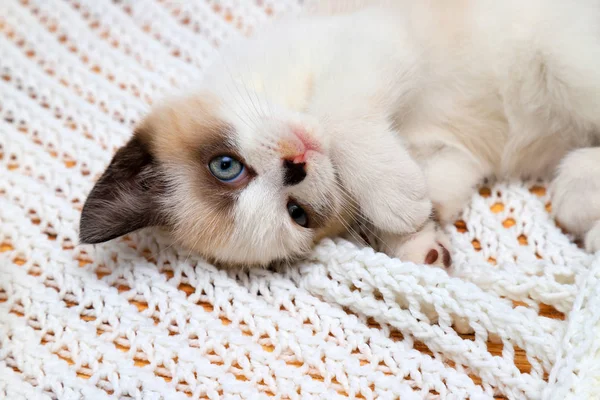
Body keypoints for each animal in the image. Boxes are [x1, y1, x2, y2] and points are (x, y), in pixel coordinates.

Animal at [78, 1, 600, 268]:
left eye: (225, 166)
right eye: (298, 214)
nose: (296, 166)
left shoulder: (370, 40)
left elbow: (336, 116)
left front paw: (395, 199)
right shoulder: (451, 148)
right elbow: (441, 185)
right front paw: (418, 236)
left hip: (563, 59)